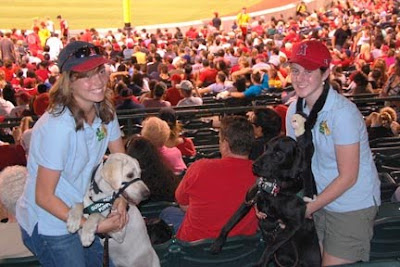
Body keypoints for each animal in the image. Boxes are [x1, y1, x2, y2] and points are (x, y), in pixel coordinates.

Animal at [211, 137, 320, 266]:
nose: (254, 165)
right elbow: (230, 222)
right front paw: (218, 242)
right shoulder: (248, 201)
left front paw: (261, 262)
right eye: (266, 147)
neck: (272, 187)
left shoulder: (293, 224)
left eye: (278, 153)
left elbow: (270, 247)